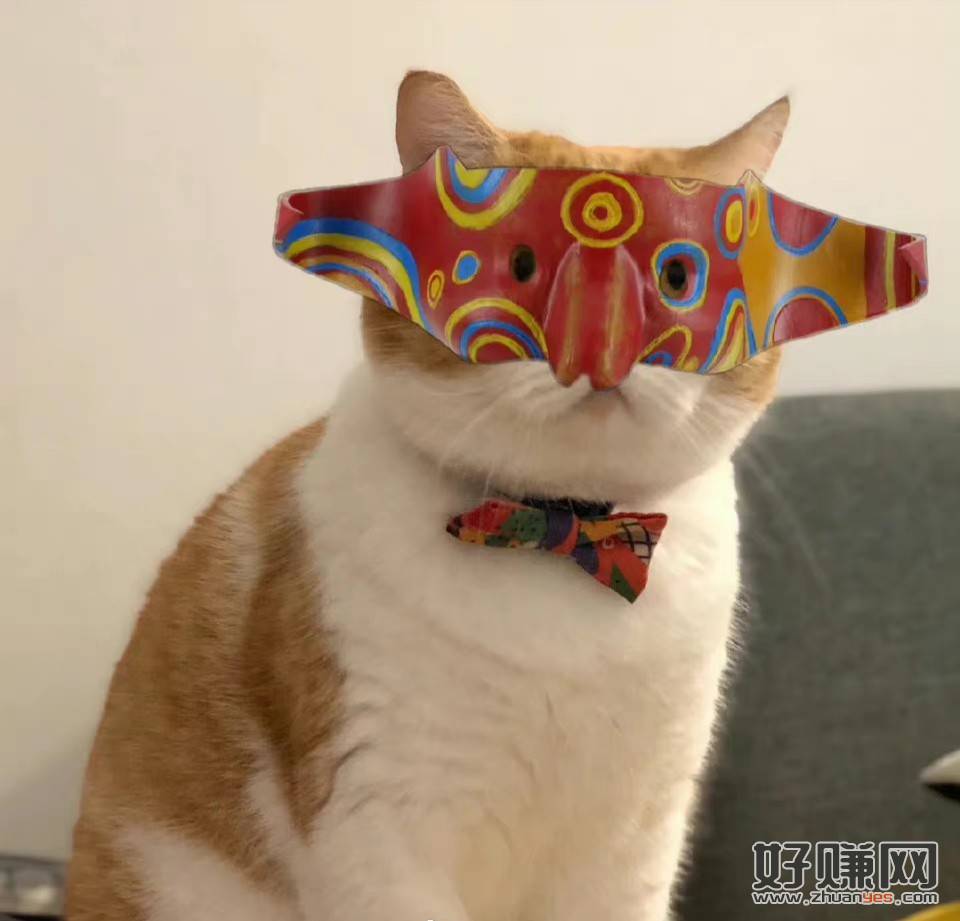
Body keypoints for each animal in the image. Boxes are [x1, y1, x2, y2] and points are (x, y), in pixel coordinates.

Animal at [66, 70, 788, 921]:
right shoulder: (378, 821)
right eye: (522, 263)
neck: (562, 531)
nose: (603, 344)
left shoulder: (634, 843)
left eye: (677, 277)